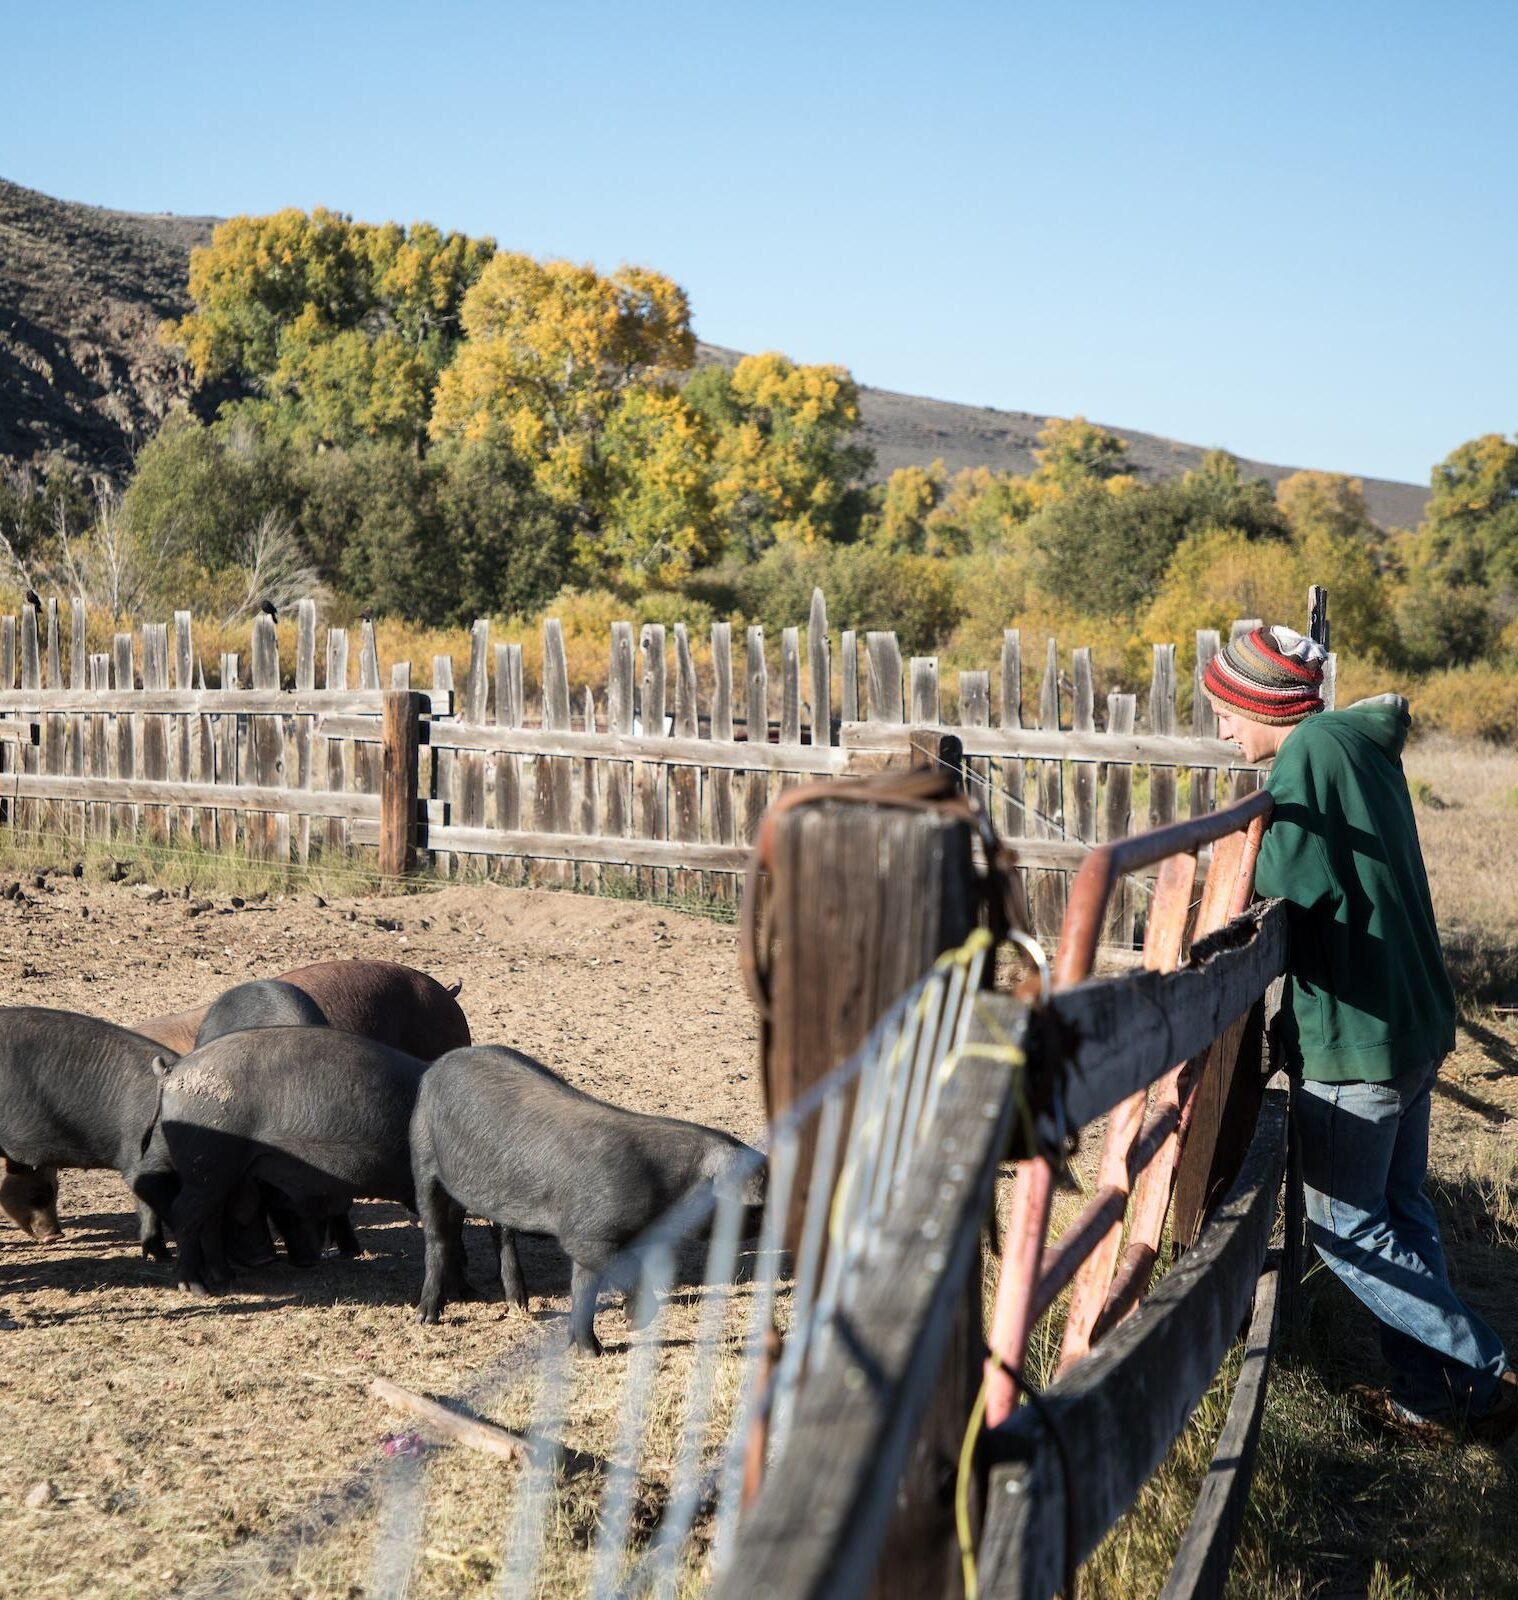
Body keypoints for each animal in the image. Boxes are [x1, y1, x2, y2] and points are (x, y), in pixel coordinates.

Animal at [409, 1049, 764, 1350]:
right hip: (423, 1158)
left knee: (503, 1234)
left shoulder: (597, 1235)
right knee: (436, 1236)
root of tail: (438, 1063)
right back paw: (426, 1317)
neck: (667, 1188)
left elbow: (584, 1286)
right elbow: (619, 1271)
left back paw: (519, 1306)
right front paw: (632, 1326)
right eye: (756, 1209)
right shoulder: (588, 1235)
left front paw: (589, 1351)